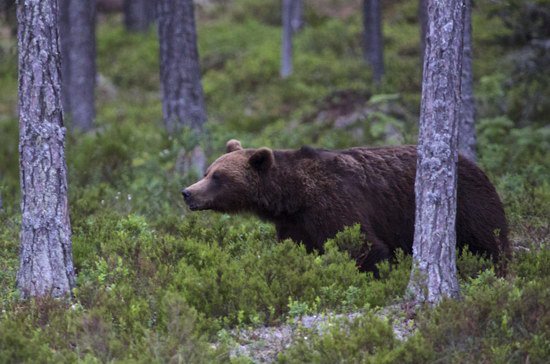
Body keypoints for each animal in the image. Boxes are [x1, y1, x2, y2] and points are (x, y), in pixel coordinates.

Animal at [182, 139, 512, 272]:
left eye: (218, 177)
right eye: (207, 172)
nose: (187, 192)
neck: (292, 197)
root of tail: (475, 164)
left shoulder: (333, 204)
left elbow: (363, 246)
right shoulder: (295, 224)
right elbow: (297, 250)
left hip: (470, 205)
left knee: (490, 241)